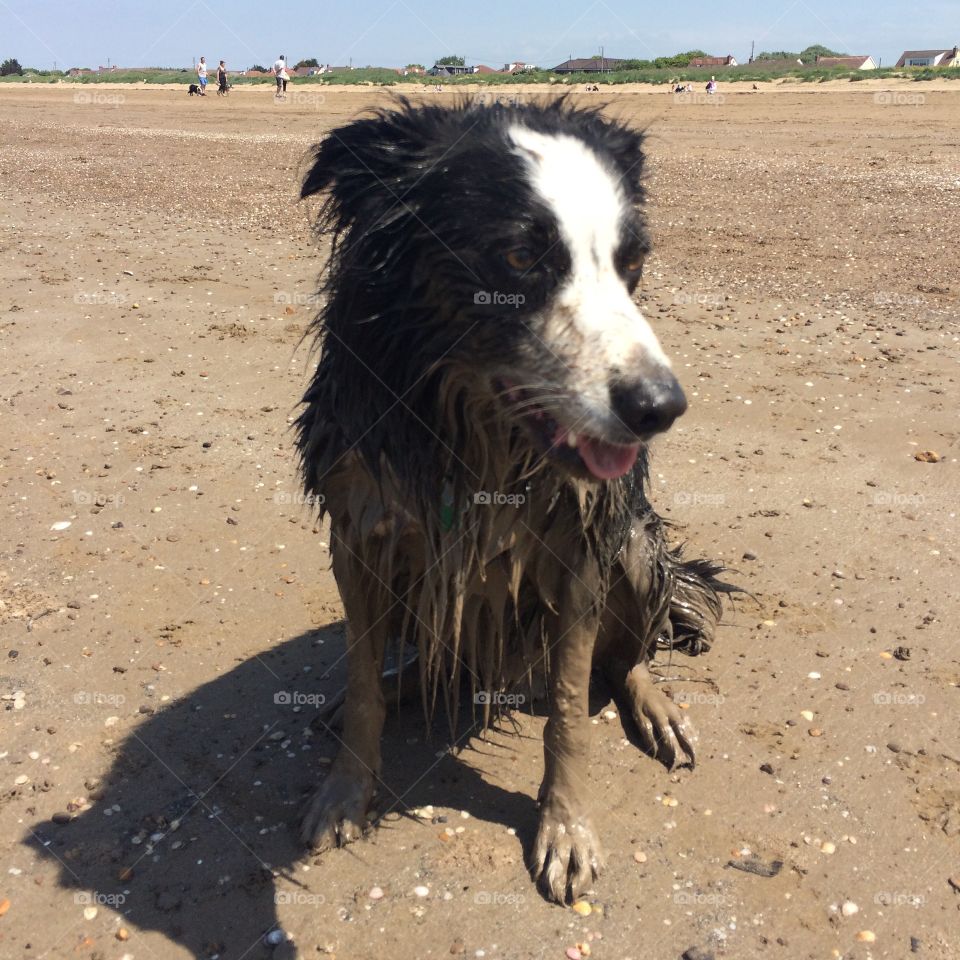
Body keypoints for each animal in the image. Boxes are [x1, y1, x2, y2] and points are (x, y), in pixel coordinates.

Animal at [292, 95, 728, 900]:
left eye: (632, 264)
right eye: (522, 258)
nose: (660, 408)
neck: (470, 435)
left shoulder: (582, 549)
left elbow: (568, 714)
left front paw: (566, 828)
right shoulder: (358, 532)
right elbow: (363, 679)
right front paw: (344, 791)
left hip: (636, 548)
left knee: (626, 658)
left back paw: (655, 708)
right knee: (430, 664)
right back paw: (404, 683)